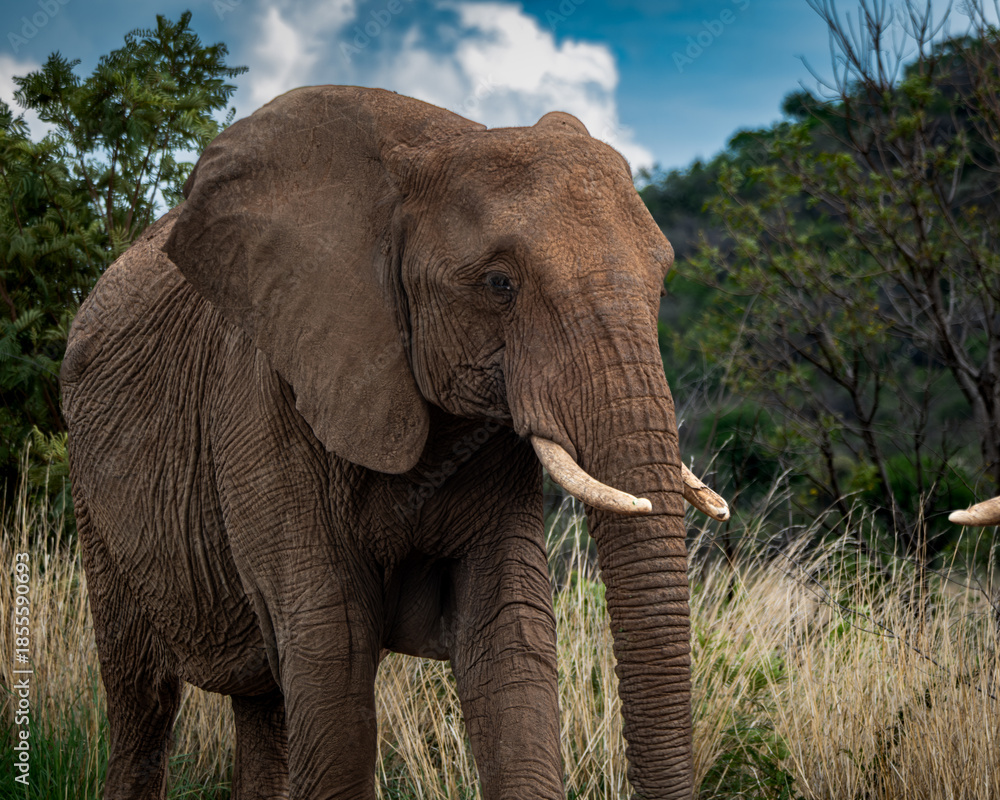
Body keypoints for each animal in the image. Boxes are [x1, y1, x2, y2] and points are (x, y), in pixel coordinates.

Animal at [60, 85, 729, 800]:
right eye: (499, 284)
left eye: (663, 282)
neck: (438, 146)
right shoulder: (266, 397)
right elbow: (334, 644)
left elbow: (508, 631)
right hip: (96, 506)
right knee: (143, 700)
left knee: (265, 705)